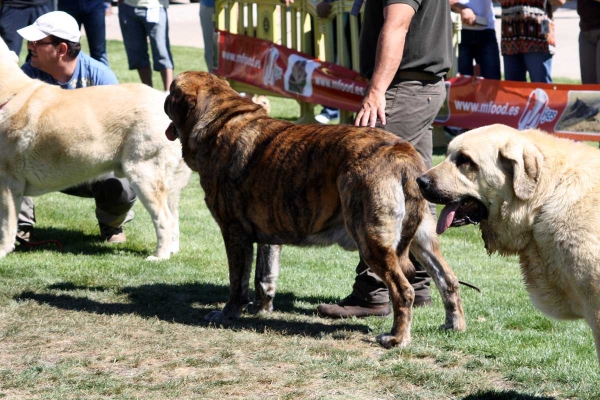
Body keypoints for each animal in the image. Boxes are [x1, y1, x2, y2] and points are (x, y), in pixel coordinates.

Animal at [0, 39, 190, 260]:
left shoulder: (9, 182)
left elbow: (6, 224)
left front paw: (2, 250)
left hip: (144, 174)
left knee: (164, 218)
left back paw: (159, 256)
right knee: (173, 217)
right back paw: (172, 250)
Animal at [166, 72, 466, 346]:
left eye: (170, 91)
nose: (163, 99)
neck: (221, 120)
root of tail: (402, 153)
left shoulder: (234, 233)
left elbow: (237, 282)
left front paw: (228, 313)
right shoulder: (267, 234)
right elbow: (265, 276)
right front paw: (262, 308)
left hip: (372, 241)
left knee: (403, 291)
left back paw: (397, 338)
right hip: (423, 238)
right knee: (448, 280)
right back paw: (454, 326)